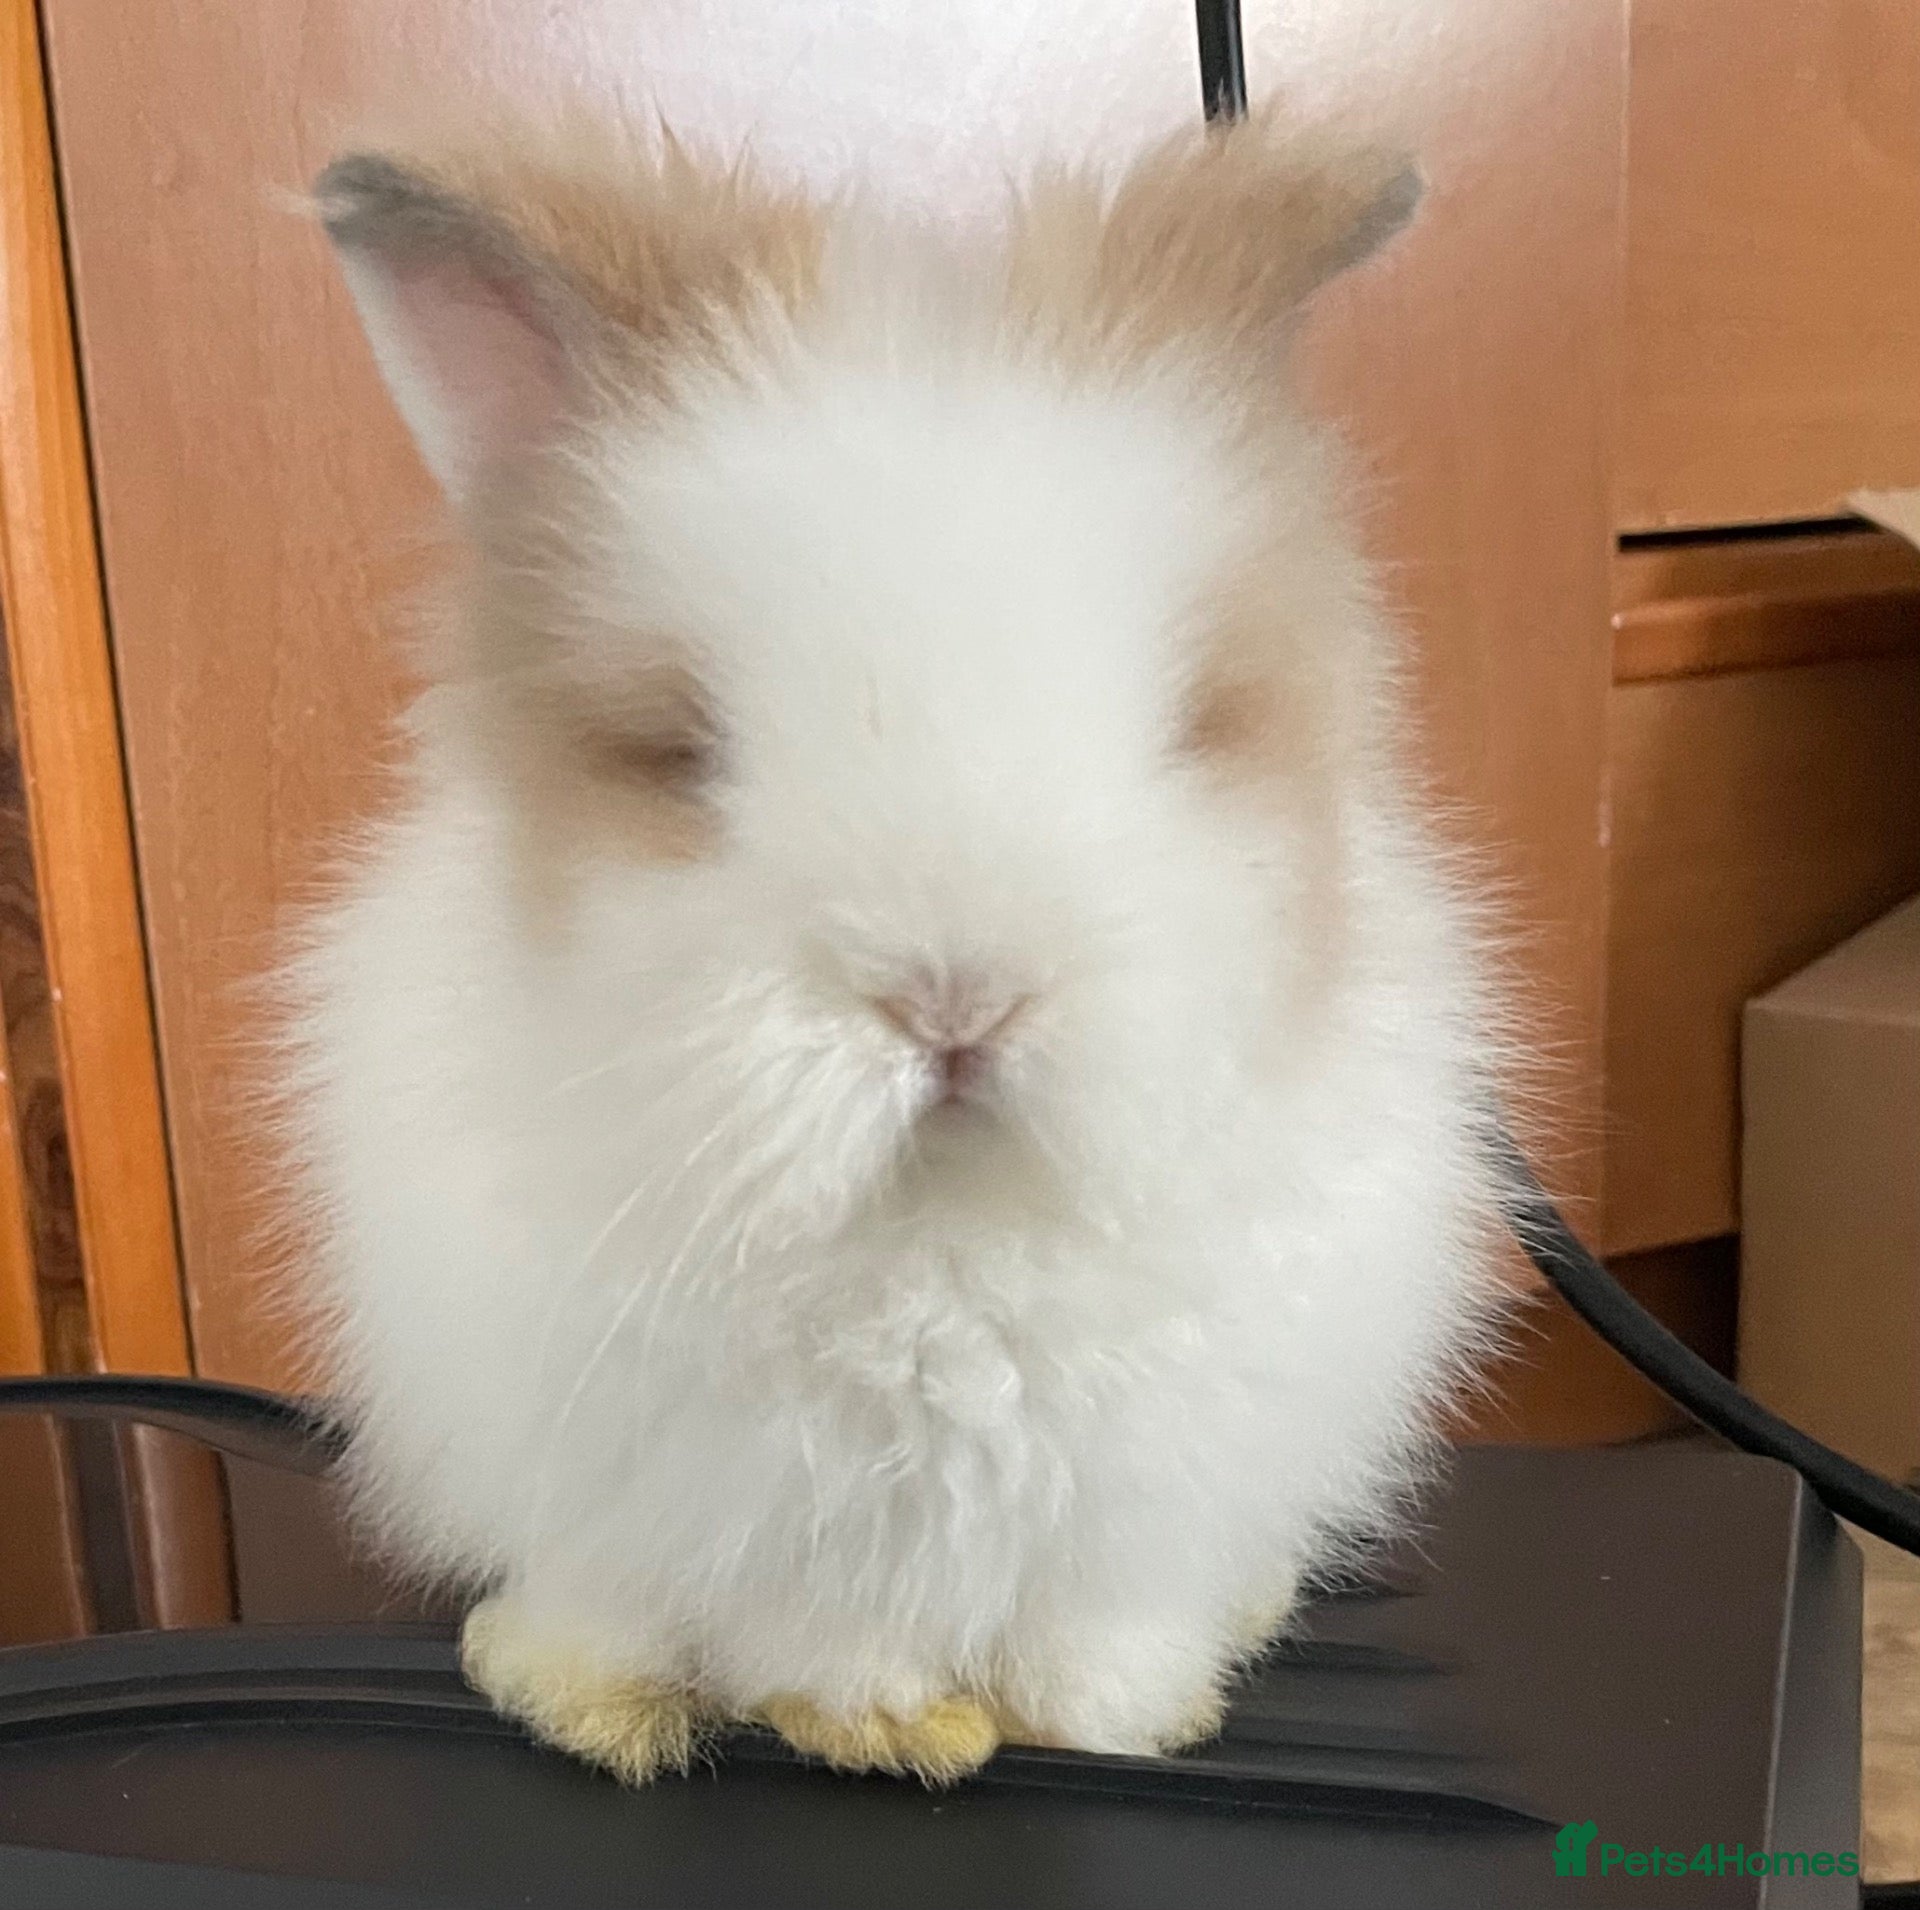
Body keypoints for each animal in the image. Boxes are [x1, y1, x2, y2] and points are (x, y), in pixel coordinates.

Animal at [284, 103, 1509, 1788]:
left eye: (1184, 721)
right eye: (687, 750)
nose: (955, 996)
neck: (938, 1232)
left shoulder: (1138, 1510)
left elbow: (1097, 1626)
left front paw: (1121, 1718)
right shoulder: (766, 1522)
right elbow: (818, 1638)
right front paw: (887, 1728)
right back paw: (587, 1691)